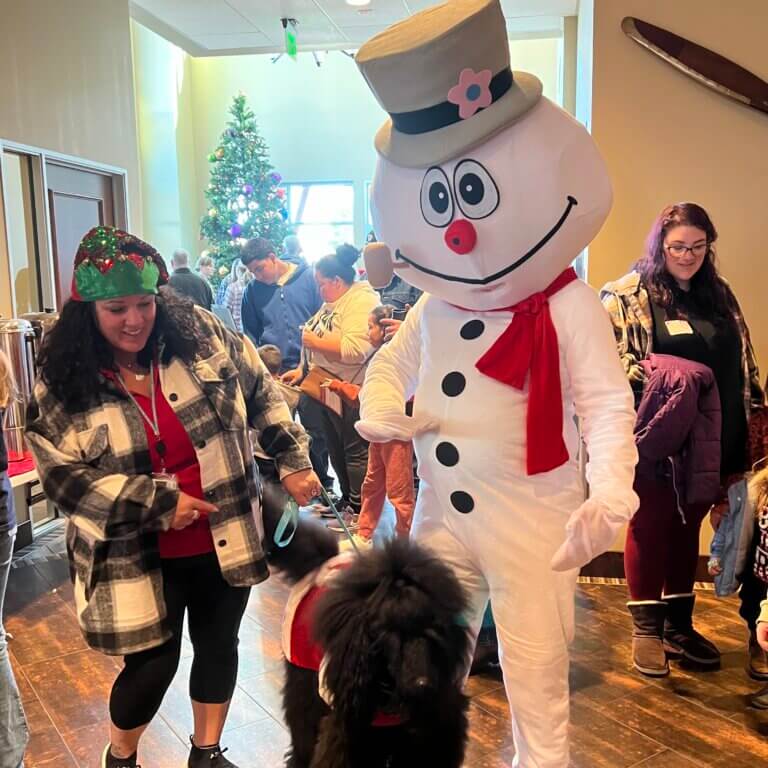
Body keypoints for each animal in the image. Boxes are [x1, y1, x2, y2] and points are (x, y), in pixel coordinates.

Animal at [262, 486, 468, 768]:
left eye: (434, 631)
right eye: (391, 634)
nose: (423, 685)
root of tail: (322, 562)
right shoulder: (348, 729)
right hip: (303, 675)